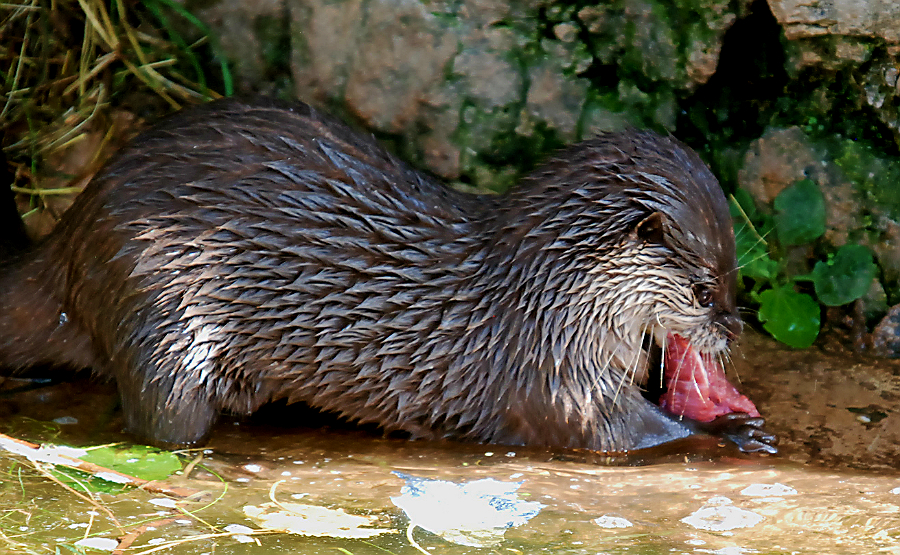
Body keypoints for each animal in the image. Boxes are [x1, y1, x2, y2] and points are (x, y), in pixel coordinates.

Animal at [0, 98, 776, 453]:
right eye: (706, 290)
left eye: (735, 282)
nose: (732, 330)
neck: (545, 299)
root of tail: (70, 238)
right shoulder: (553, 380)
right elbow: (631, 434)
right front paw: (736, 435)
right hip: (155, 306)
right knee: (159, 421)